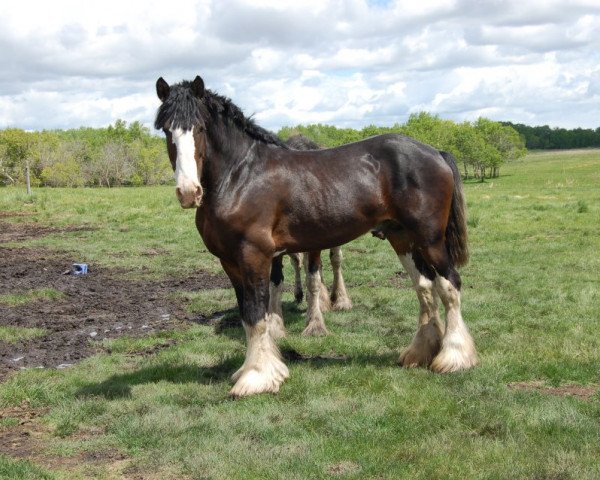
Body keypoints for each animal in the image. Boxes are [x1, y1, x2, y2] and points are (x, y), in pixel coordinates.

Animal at [155, 76, 478, 398]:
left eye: (199, 128)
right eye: (166, 130)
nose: (188, 192)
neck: (240, 177)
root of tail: (435, 153)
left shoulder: (254, 256)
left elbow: (258, 313)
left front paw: (257, 377)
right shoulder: (230, 263)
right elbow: (248, 314)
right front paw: (256, 370)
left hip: (430, 240)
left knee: (449, 285)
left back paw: (454, 357)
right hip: (402, 239)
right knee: (424, 286)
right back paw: (420, 353)